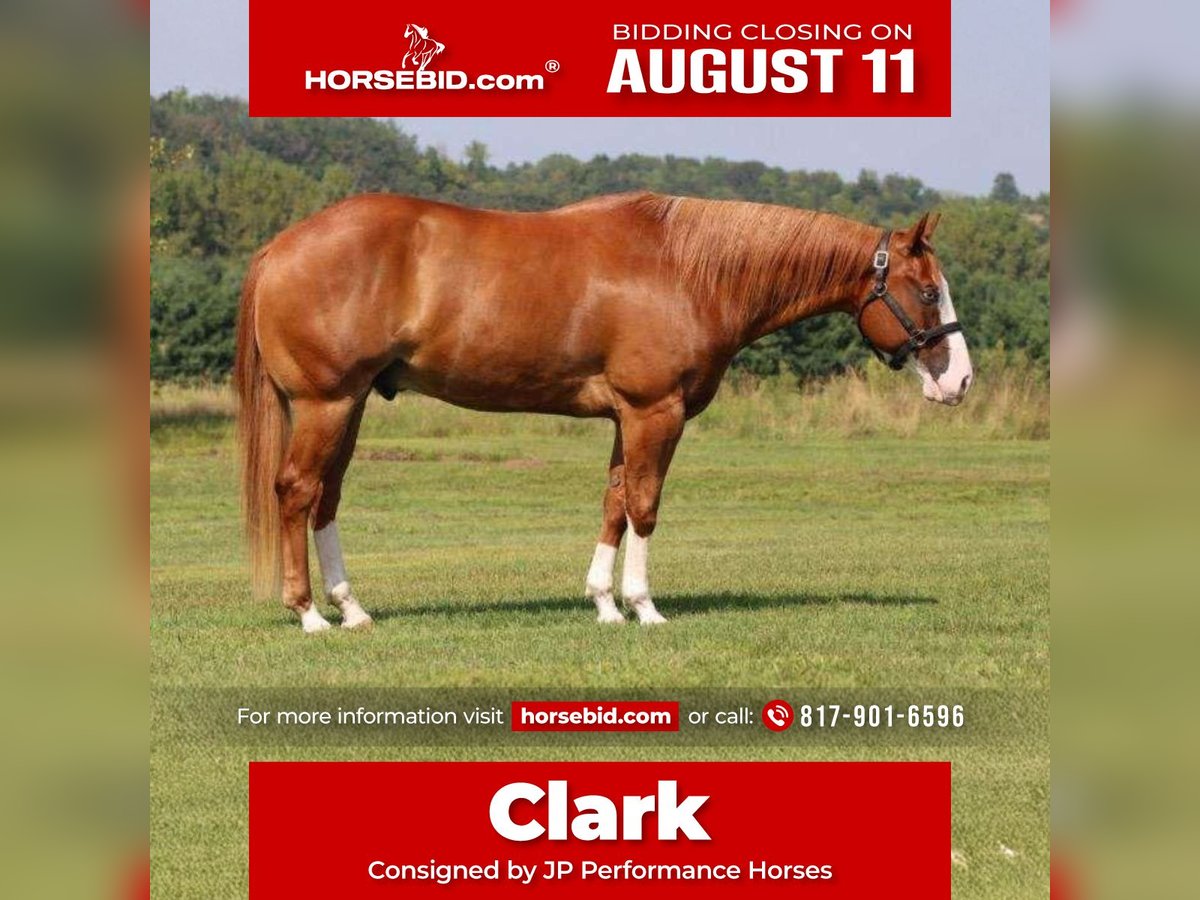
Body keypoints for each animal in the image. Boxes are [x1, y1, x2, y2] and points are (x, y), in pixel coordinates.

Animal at [233, 192, 973, 633]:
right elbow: (644, 505)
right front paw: (644, 608)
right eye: (928, 292)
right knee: (297, 492)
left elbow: (614, 502)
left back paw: (352, 609)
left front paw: (604, 604)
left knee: (326, 498)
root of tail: (278, 247)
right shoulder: (655, 412)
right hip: (326, 403)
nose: (960, 381)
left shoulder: (628, 418)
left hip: (351, 404)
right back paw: (309, 614)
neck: (687, 271)